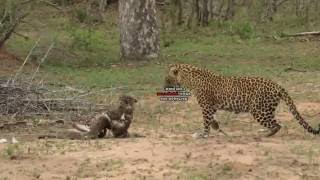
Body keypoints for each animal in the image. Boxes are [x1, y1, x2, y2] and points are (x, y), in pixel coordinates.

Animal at [165, 63, 320, 138]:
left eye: (167, 78)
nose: (164, 85)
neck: (188, 79)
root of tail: (277, 85)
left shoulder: (206, 106)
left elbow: (206, 121)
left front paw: (204, 134)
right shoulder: (211, 107)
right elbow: (212, 119)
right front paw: (216, 127)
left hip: (259, 110)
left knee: (277, 125)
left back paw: (266, 135)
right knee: (277, 124)